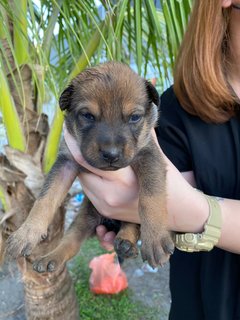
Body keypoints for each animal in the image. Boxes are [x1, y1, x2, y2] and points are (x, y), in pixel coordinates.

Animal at [6, 61, 174, 272]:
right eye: (87, 116)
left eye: (135, 117)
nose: (111, 154)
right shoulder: (65, 163)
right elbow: (45, 199)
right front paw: (26, 233)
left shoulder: (149, 156)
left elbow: (150, 197)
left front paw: (154, 239)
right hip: (85, 217)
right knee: (71, 241)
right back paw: (51, 258)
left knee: (131, 223)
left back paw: (126, 242)